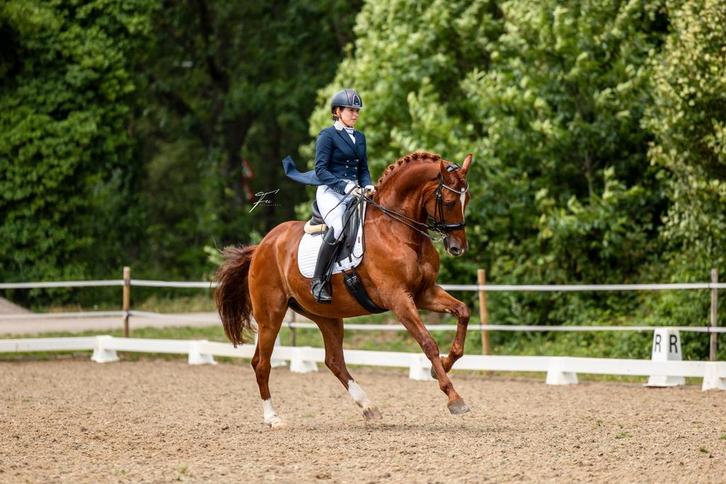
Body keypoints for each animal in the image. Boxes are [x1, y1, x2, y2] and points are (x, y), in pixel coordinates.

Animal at [215, 151, 473, 428]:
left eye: (466, 198)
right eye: (449, 202)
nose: (457, 248)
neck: (396, 229)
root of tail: (262, 245)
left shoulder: (424, 292)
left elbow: (463, 311)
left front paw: (442, 366)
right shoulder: (398, 298)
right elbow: (428, 342)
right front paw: (454, 398)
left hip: (325, 315)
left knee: (334, 360)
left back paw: (368, 407)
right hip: (270, 315)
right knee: (261, 363)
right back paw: (273, 418)